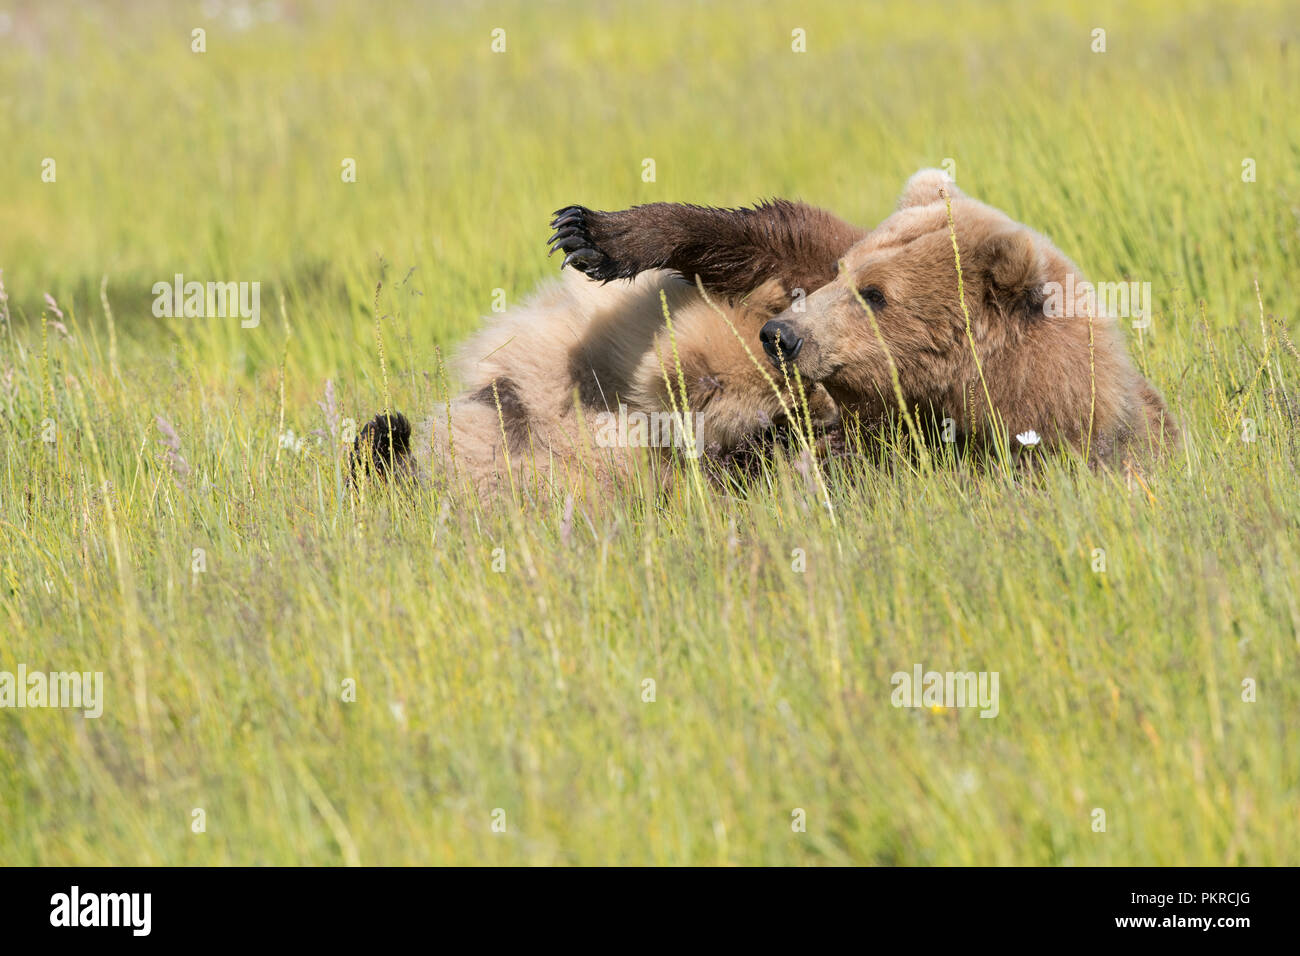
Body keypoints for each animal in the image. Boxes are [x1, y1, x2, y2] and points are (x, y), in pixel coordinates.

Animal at [353, 169, 1177, 499]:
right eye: (849, 275)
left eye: (877, 296)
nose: (781, 335)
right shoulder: (797, 261)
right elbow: (758, 232)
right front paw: (594, 234)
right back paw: (382, 435)